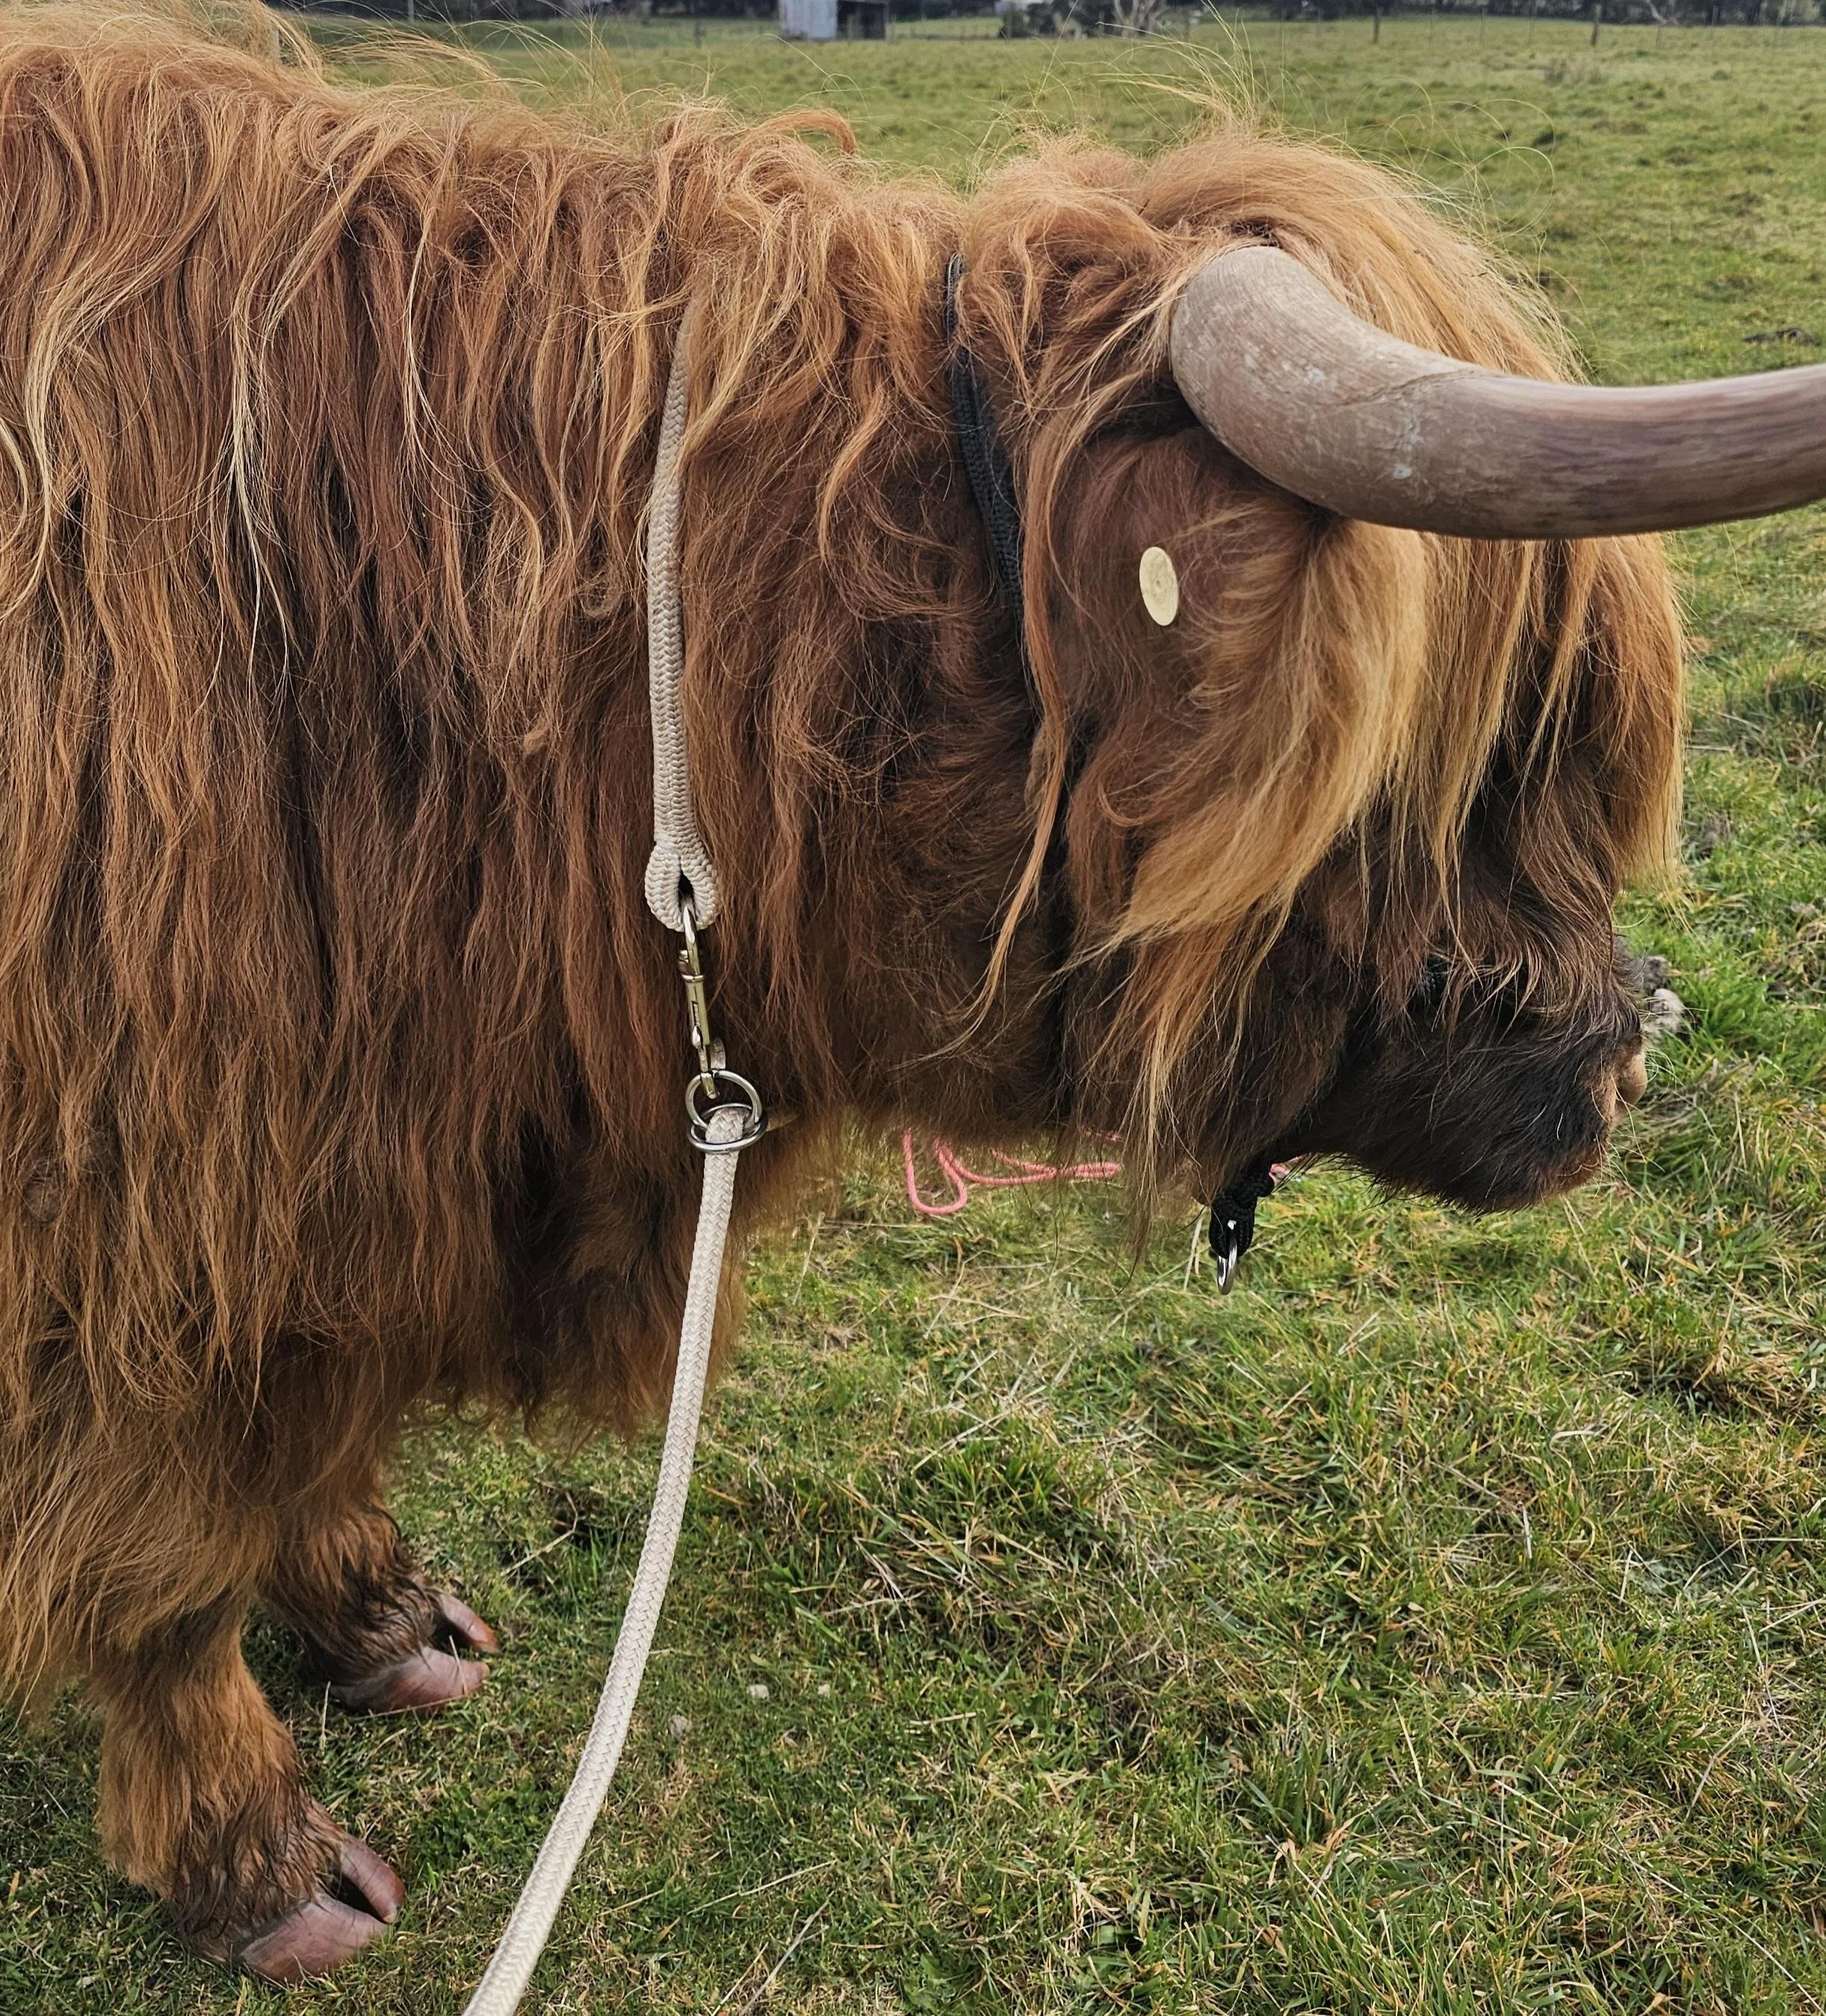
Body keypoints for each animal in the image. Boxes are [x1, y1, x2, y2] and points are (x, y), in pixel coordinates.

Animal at [1, 0, 1823, 1983]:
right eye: (1491, 760)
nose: (1633, 1050)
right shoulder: (145, 1222)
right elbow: (166, 1566)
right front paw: (254, 1851)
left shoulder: (326, 1187)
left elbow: (313, 1436)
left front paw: (385, 1614)